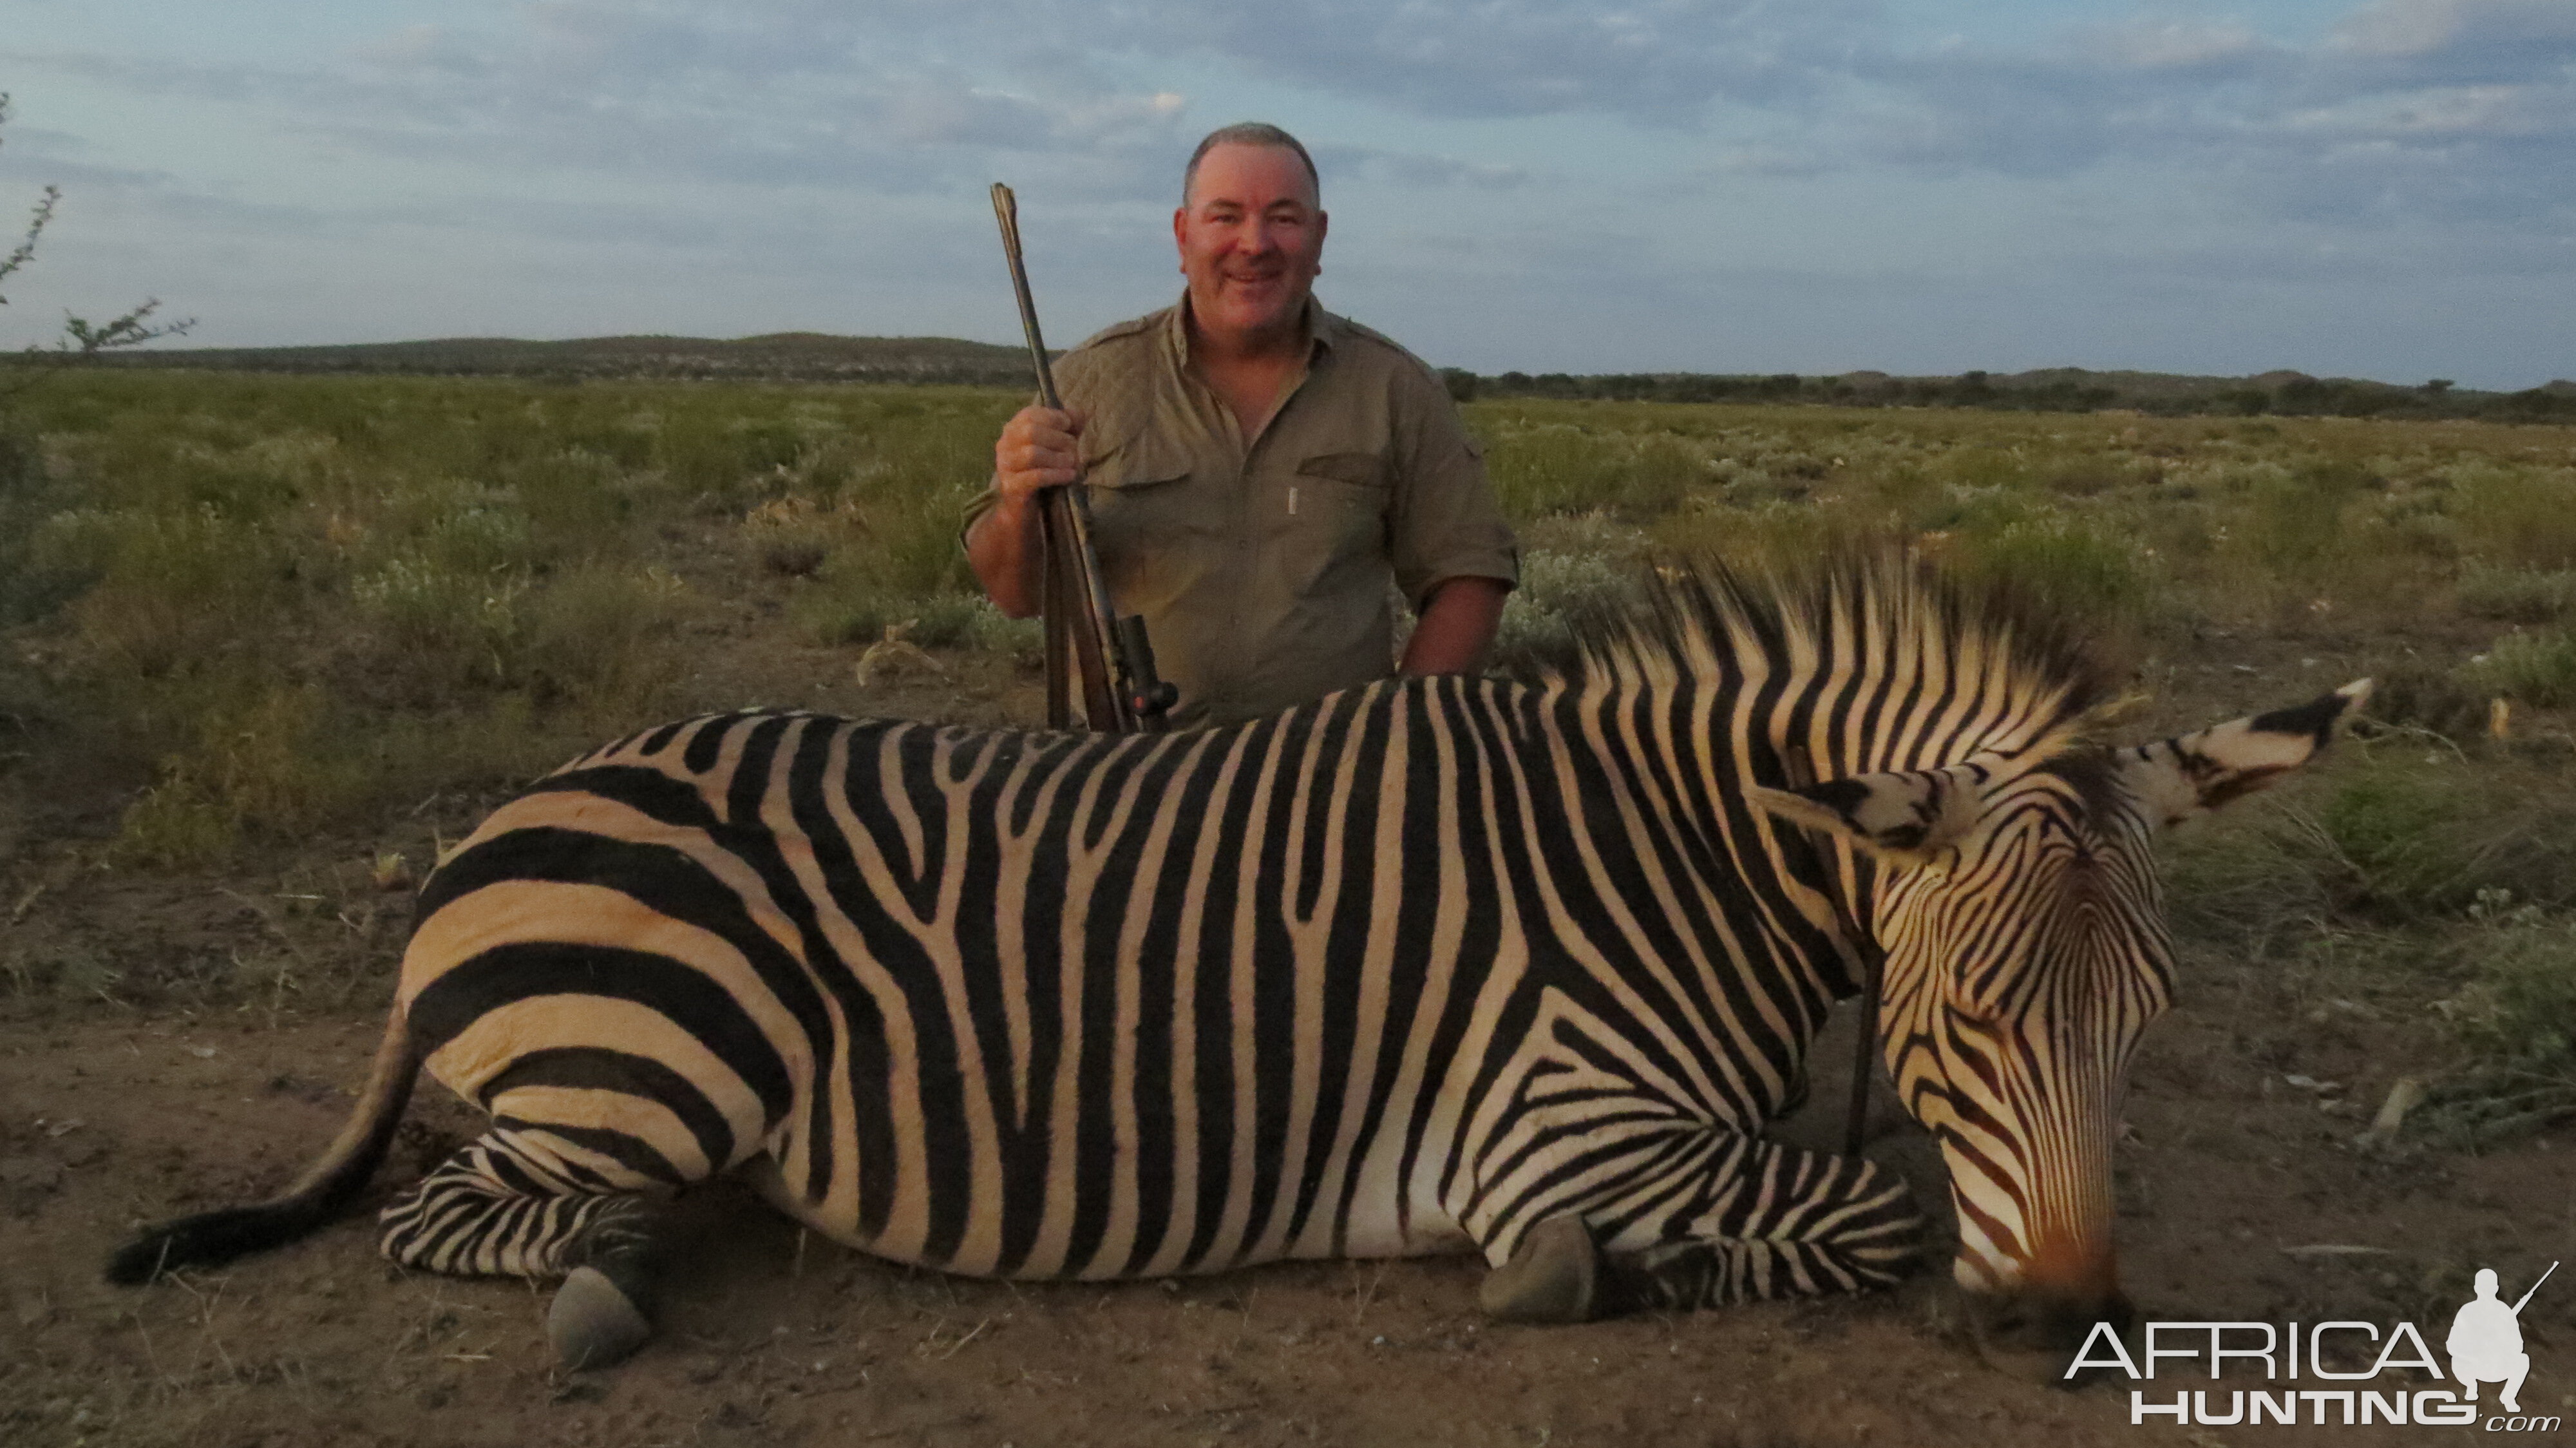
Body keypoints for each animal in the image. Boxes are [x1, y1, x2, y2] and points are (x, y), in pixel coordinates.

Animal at [106, 551, 2370, 1360]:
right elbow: (1865, 1204)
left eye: (2147, 1022)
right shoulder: (1560, 1129)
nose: (2071, 1320)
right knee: (470, 1208)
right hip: (649, 1063)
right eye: (1961, 1017)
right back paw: (617, 1275)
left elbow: (1863, 1186)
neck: (1672, 856)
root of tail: (517, 802)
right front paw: (1597, 1277)